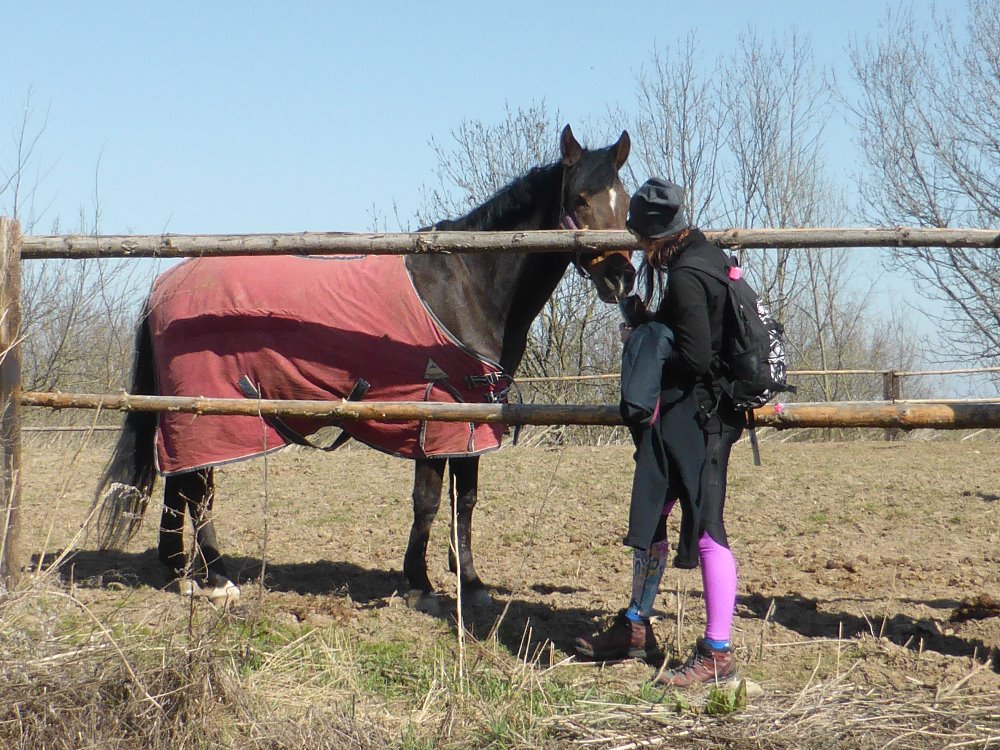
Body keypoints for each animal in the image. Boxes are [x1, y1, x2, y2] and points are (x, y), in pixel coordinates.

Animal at [95, 125, 632, 612]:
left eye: (625, 202)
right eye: (580, 199)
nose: (621, 276)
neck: (469, 282)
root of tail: (164, 286)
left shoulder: (469, 417)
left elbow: (464, 500)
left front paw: (468, 583)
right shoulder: (437, 415)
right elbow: (430, 501)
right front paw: (423, 585)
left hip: (186, 413)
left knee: (180, 482)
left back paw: (182, 574)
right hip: (211, 415)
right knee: (198, 490)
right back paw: (219, 577)